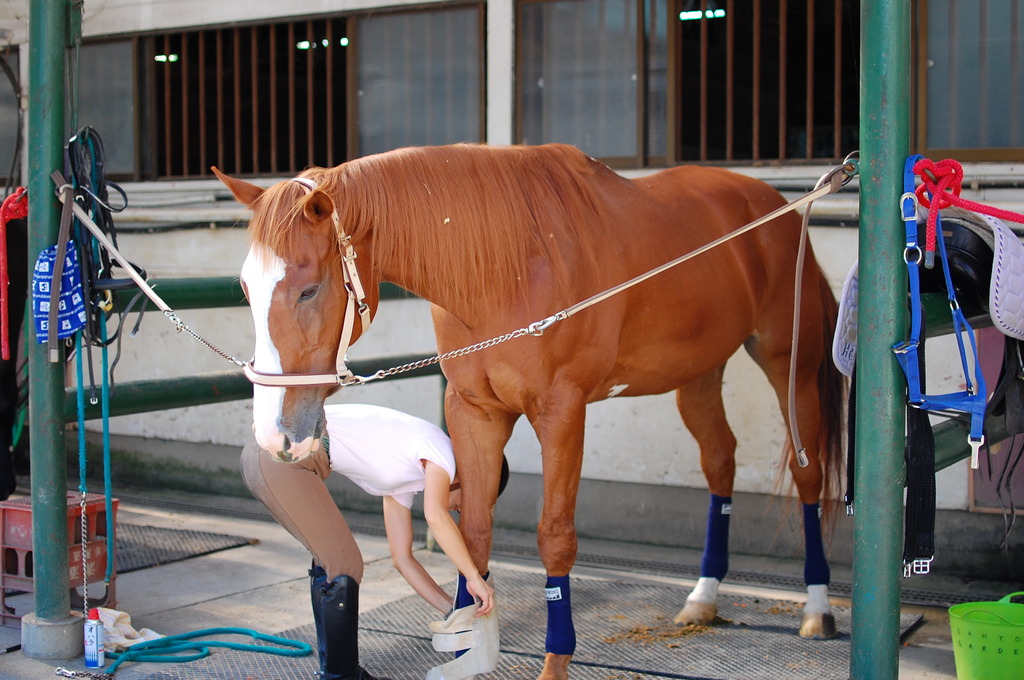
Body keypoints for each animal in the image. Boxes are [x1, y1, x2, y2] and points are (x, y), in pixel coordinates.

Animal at [214, 142, 839, 675]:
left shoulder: (561, 413)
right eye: (244, 289)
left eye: (310, 289)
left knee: (806, 474)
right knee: (720, 461)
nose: (275, 435)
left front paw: (555, 661)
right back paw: (703, 597)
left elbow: (554, 537)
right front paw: (471, 643)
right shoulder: (474, 412)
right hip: (699, 376)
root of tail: (778, 208)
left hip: (789, 365)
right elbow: (474, 533)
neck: (505, 267)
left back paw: (817, 608)